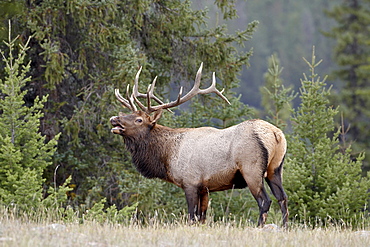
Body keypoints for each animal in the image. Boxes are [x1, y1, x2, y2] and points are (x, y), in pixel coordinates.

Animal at [110, 63, 290, 228]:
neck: (167, 156)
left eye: (139, 120)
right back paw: (285, 227)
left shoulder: (190, 182)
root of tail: (276, 134)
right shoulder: (205, 188)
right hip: (275, 169)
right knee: (282, 198)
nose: (114, 119)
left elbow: (192, 216)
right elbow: (201, 217)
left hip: (251, 169)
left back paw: (259, 226)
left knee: (265, 201)